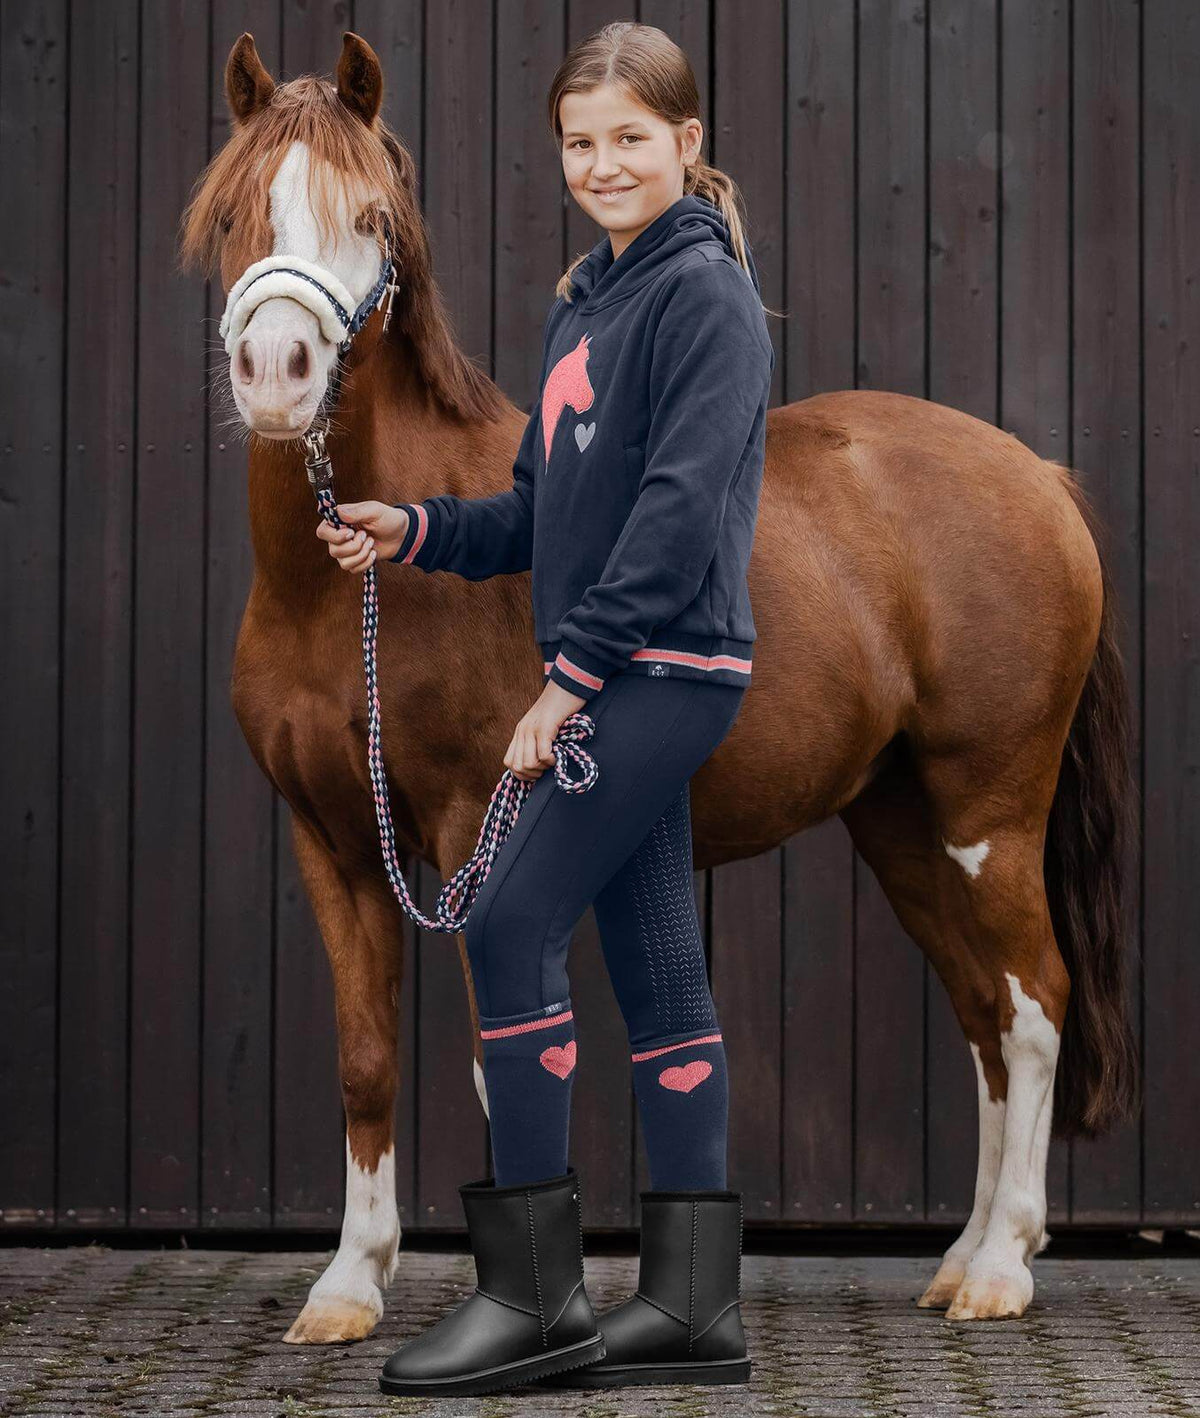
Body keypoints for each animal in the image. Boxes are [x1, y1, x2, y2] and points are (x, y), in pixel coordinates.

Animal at [180, 31, 1137, 1343]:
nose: (277, 373)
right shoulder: (332, 840)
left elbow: (499, 1054)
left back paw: (1002, 1267)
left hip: (990, 812)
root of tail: (1040, 476)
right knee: (985, 1011)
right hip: (903, 822)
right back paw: (961, 1256)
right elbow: (366, 1057)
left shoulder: (479, 832)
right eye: (233, 213)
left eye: (370, 215)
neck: (354, 599)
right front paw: (347, 1284)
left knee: (1034, 1002)